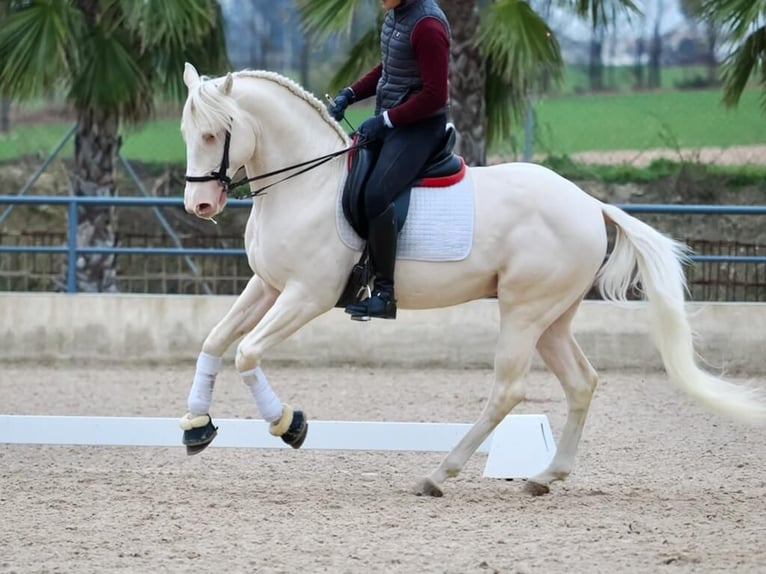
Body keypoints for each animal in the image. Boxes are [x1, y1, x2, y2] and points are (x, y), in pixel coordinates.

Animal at [178, 60, 766, 498]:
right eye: (187, 133)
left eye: (213, 133)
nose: (199, 205)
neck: (308, 184)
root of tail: (589, 203)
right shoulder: (269, 286)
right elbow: (214, 341)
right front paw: (197, 427)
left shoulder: (308, 295)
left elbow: (247, 352)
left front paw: (288, 424)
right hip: (552, 318)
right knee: (581, 381)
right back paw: (545, 476)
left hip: (524, 312)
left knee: (508, 390)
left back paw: (440, 473)